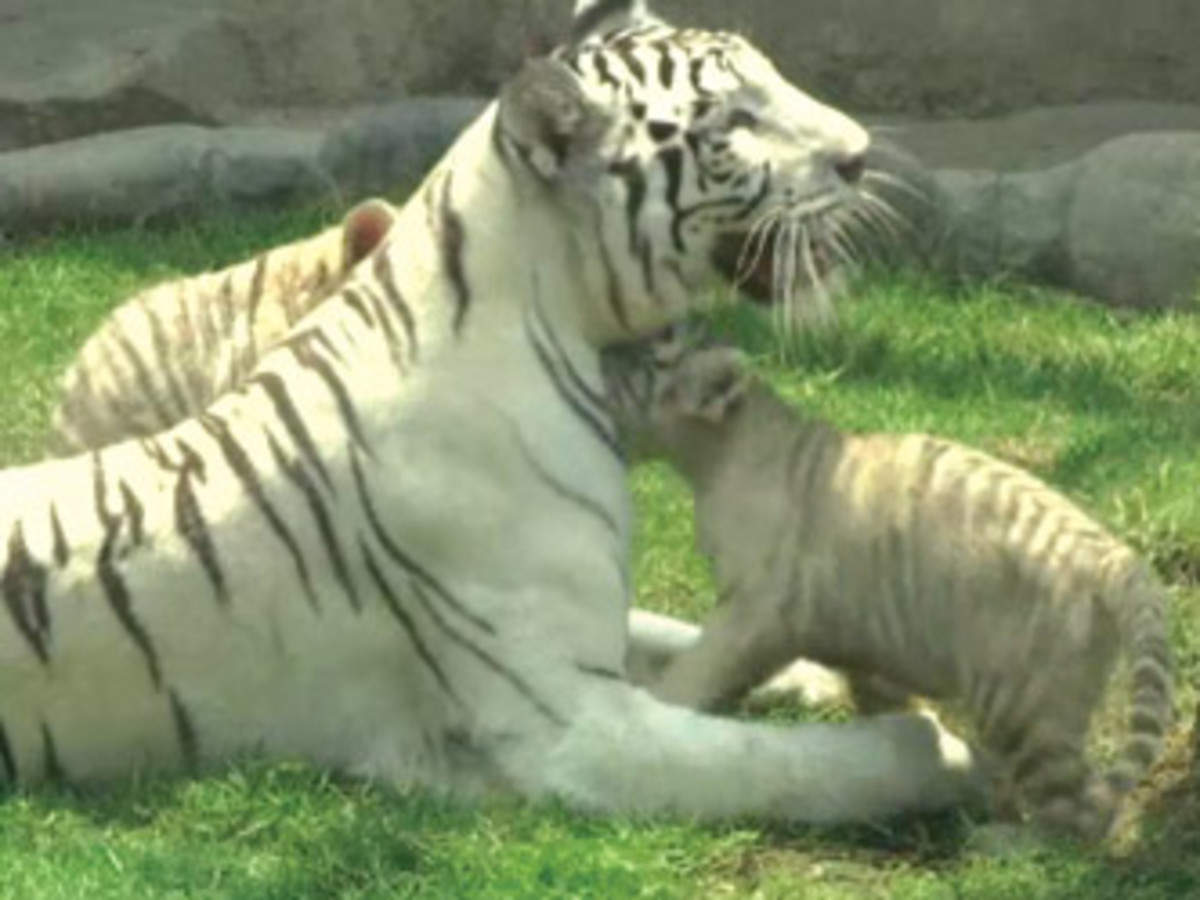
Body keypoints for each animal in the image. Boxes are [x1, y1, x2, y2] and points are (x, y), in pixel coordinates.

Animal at [0, 0, 984, 830]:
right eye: (733, 122)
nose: (862, 154)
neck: (565, 328)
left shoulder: (587, 628)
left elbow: (668, 632)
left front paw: (814, 678)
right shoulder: (572, 725)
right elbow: (785, 765)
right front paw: (935, 748)